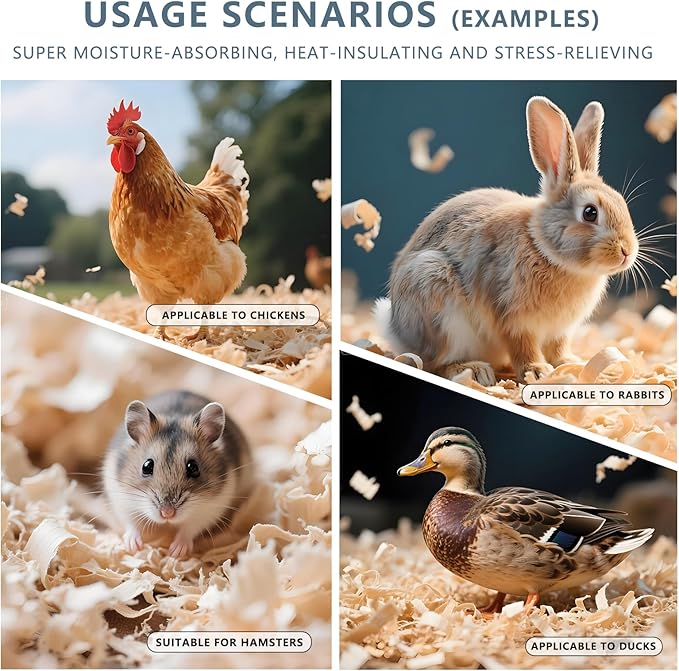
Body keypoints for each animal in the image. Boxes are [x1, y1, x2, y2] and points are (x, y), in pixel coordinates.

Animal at [103, 390, 254, 558]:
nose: (167, 513)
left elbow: (189, 528)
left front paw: (175, 552)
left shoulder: (210, 509)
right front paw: (134, 547)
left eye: (193, 468)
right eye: (146, 466)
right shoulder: (122, 500)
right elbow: (131, 523)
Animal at [375, 96, 639, 384]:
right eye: (590, 213)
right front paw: (538, 372)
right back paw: (473, 370)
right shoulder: (512, 318)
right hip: (434, 293)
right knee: (435, 362)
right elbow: (523, 346)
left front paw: (573, 365)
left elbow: (558, 348)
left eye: (622, 203)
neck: (544, 249)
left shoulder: (559, 331)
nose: (627, 251)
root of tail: (395, 329)